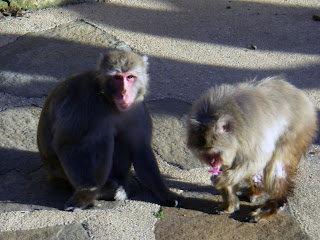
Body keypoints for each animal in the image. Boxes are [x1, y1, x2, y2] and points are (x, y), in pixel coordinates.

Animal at [37, 50, 180, 210]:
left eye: (130, 77)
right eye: (117, 78)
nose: (124, 93)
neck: (108, 101)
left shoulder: (137, 107)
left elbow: (140, 147)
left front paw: (164, 192)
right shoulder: (81, 103)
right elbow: (68, 144)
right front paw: (86, 193)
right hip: (62, 175)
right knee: (101, 136)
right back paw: (104, 190)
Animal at [186, 76, 318, 221]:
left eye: (214, 152)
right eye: (207, 155)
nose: (213, 163)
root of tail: (303, 97)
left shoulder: (249, 134)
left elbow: (258, 160)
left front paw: (221, 179)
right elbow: (230, 166)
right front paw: (229, 205)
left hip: (298, 129)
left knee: (275, 164)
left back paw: (272, 206)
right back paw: (256, 191)